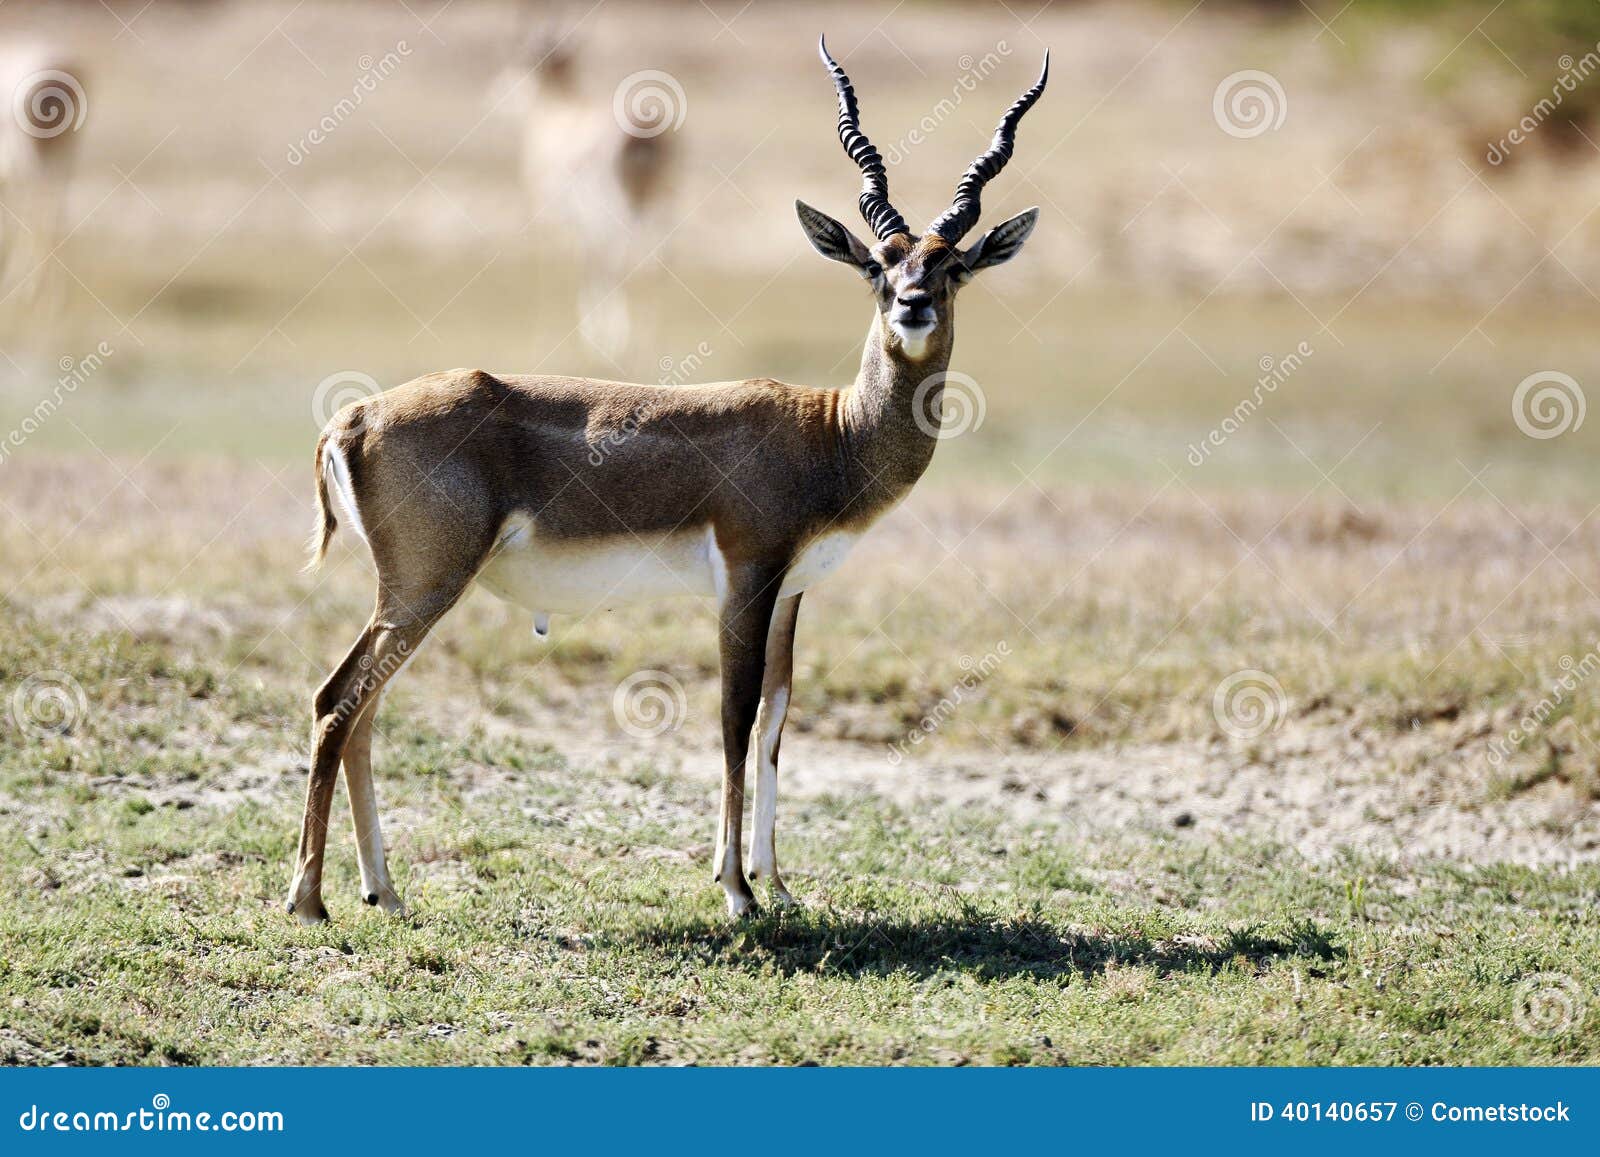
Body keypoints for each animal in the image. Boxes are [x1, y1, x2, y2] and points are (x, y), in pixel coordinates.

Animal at [294, 38, 1049, 921]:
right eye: (877, 264)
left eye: (954, 265)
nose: (913, 305)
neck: (830, 432)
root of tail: (353, 417)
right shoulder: (746, 579)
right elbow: (733, 716)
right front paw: (737, 892)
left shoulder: (790, 593)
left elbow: (775, 722)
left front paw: (778, 884)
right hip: (424, 585)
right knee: (337, 701)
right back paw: (308, 899)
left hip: (410, 594)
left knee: (364, 709)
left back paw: (384, 891)